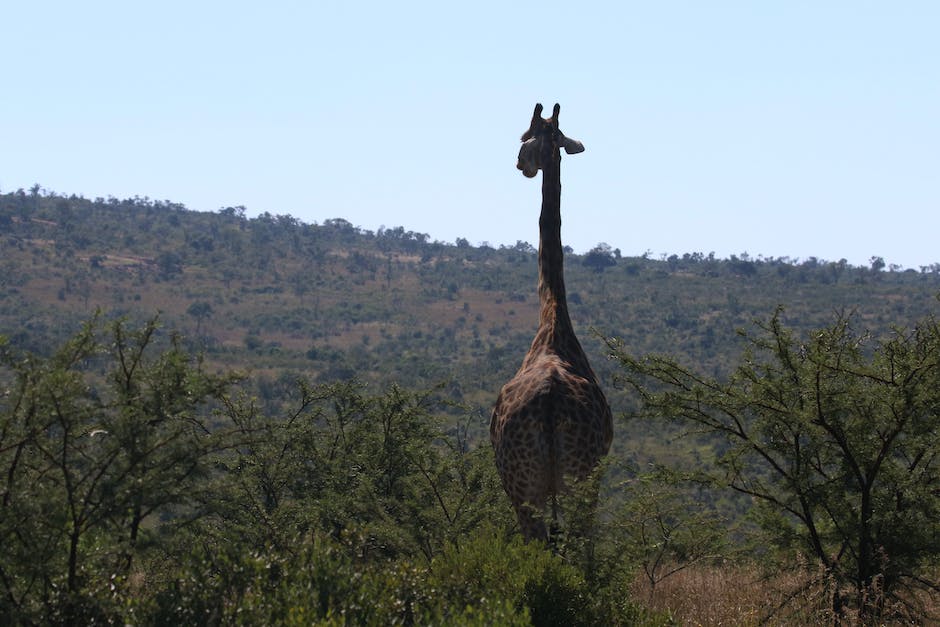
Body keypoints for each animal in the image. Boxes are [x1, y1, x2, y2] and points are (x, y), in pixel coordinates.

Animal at [488, 104, 612, 544]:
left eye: (525, 138)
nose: (520, 164)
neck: (552, 317)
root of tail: (549, 401)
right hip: (574, 481)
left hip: (528, 488)